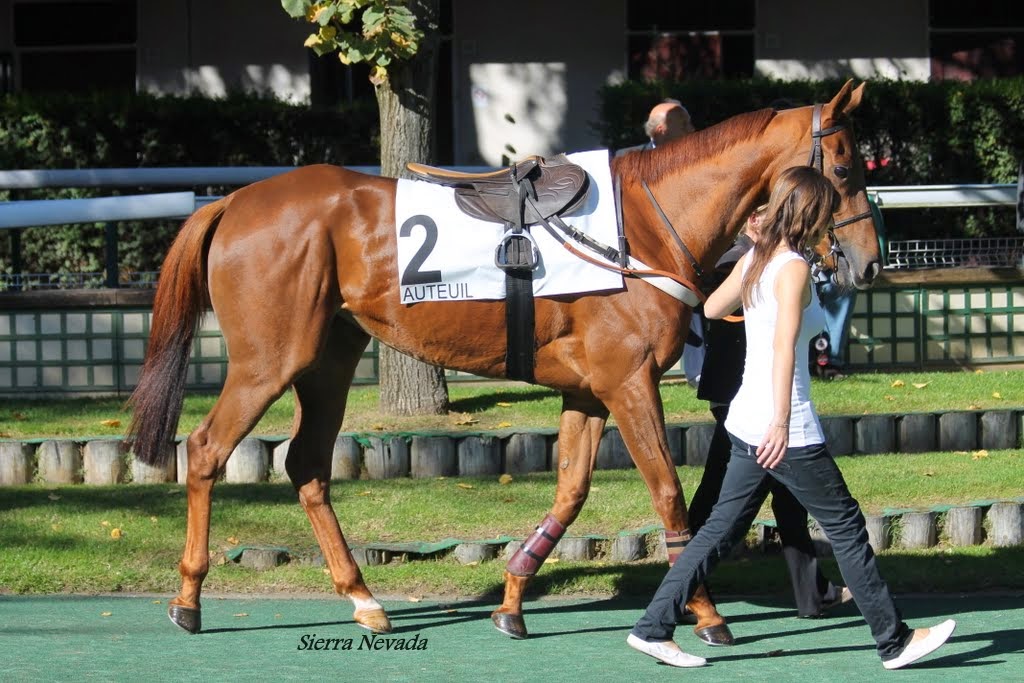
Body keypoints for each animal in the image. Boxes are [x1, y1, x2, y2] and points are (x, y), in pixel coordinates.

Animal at [130, 81, 880, 647]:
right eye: (846, 168)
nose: (869, 261)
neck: (642, 223)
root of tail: (235, 201)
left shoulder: (591, 390)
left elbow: (570, 491)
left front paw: (514, 598)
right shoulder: (630, 382)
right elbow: (668, 493)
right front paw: (705, 612)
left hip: (328, 359)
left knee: (307, 465)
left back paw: (364, 598)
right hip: (268, 361)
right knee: (206, 449)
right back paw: (189, 597)